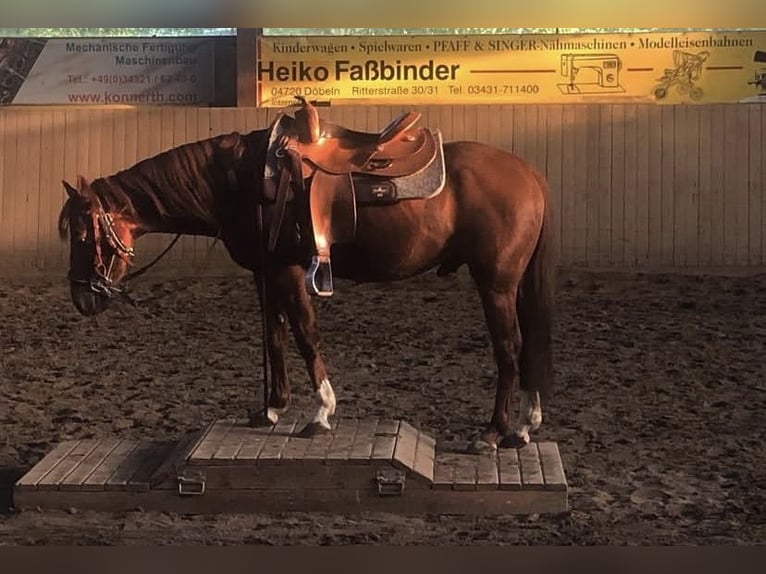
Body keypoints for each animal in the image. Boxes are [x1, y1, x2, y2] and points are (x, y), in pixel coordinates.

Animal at [57, 106, 554, 452]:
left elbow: (304, 334)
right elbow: (275, 335)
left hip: (495, 283)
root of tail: (530, 173)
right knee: (528, 342)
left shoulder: (289, 270)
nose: (82, 298)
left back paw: (492, 433)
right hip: (512, 283)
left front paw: (320, 413)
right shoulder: (265, 273)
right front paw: (272, 408)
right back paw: (524, 427)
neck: (241, 181)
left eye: (82, 233)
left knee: (509, 348)